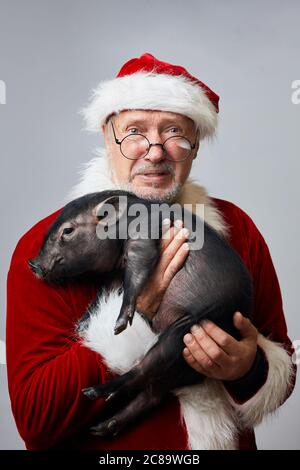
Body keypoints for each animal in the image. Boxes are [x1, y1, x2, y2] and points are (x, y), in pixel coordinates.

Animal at [28, 190, 253, 436]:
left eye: (67, 231)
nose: (33, 264)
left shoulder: (143, 236)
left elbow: (139, 265)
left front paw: (118, 325)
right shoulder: (114, 273)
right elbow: (103, 295)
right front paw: (82, 324)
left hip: (188, 330)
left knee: (146, 370)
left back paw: (93, 393)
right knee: (152, 394)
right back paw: (102, 427)